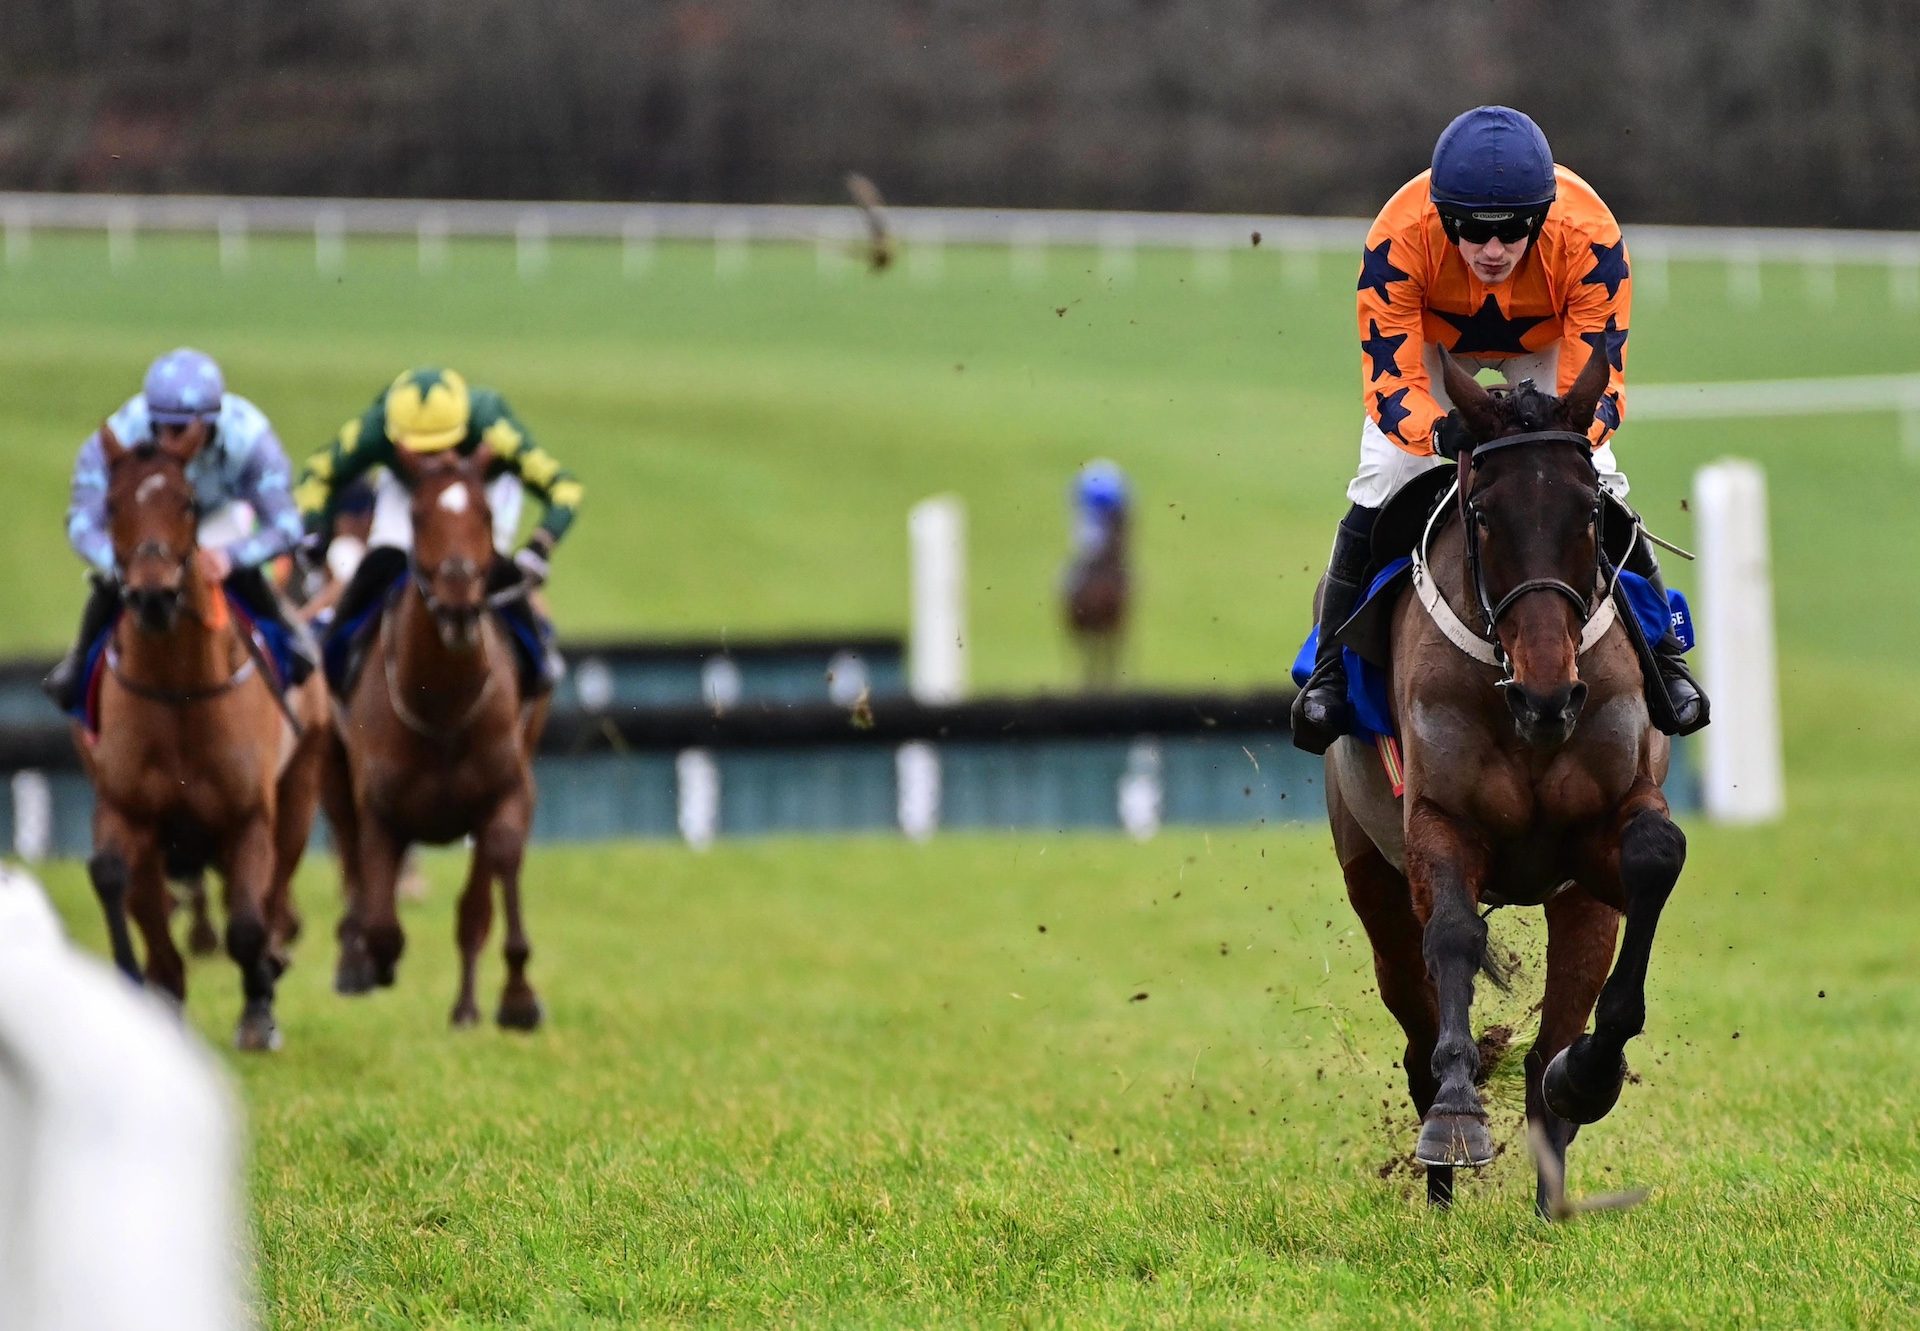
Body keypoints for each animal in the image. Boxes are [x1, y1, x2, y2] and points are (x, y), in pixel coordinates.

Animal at [79, 422, 330, 1052]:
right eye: (111, 504)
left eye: (187, 503)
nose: (151, 596)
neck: (180, 690)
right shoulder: (125, 804)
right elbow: (112, 877)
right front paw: (137, 981)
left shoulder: (248, 814)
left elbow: (247, 925)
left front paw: (259, 1005)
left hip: (299, 790)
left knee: (274, 894)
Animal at [324, 445, 549, 1029]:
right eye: (419, 515)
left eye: (486, 515)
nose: (458, 599)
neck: (443, 708)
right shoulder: (380, 807)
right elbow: (380, 918)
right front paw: (373, 960)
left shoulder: (505, 790)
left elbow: (490, 885)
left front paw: (516, 998)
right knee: (349, 859)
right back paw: (353, 962)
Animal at [1328, 345, 1689, 1213]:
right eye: (1485, 516)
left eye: (1590, 515)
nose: (1547, 695)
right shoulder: (1438, 823)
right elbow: (1457, 933)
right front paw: (1457, 1119)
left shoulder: (1600, 833)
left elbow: (1656, 855)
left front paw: (1587, 1077)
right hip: (1371, 882)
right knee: (1416, 1023)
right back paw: (1439, 1184)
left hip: (1577, 905)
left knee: (1546, 1043)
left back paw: (1554, 1175)